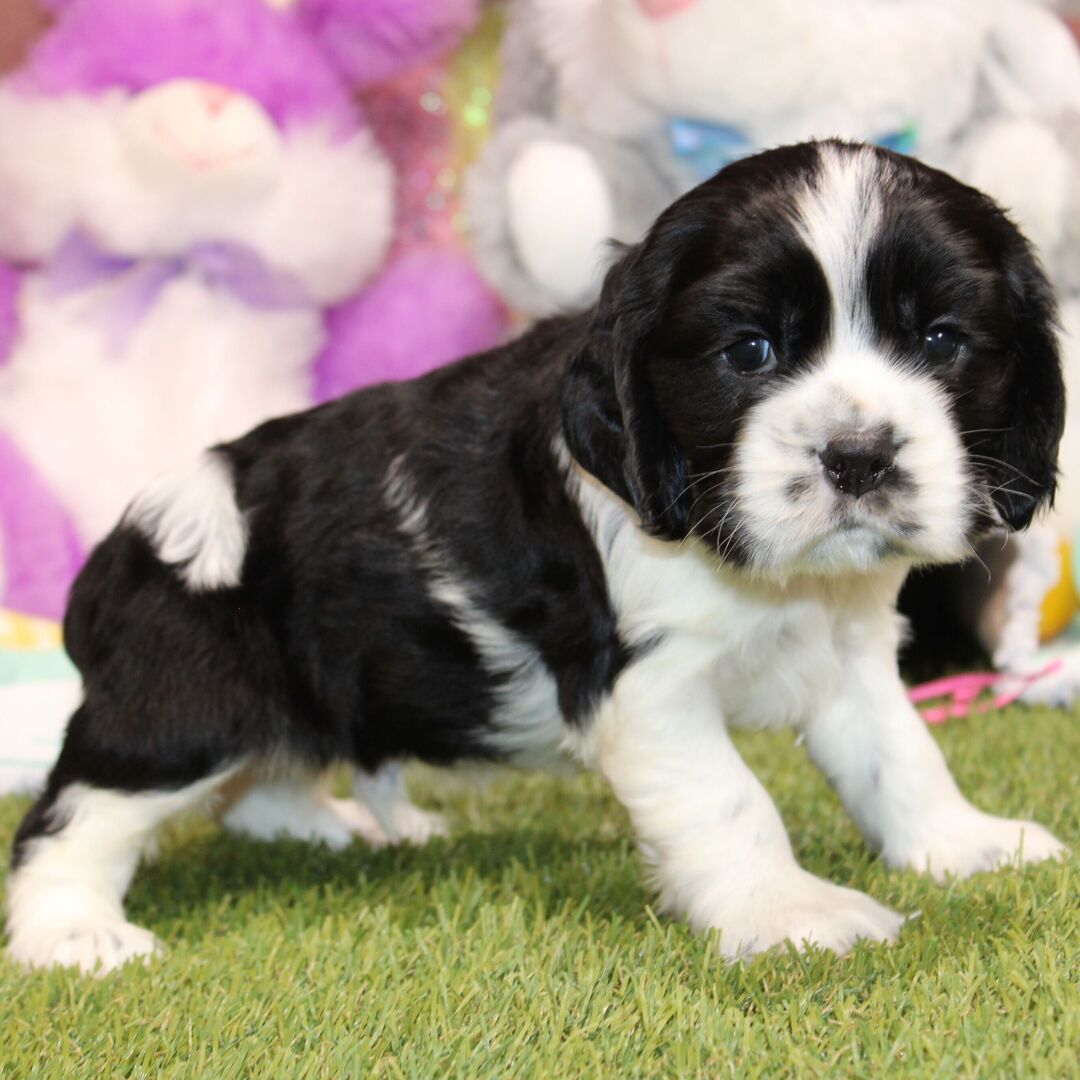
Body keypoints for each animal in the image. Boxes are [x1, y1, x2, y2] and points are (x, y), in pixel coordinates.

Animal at [6, 140, 1068, 974]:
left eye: (942, 339)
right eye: (749, 351)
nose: (856, 455)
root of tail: (135, 532)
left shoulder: (847, 653)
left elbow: (901, 755)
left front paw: (964, 844)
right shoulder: (650, 687)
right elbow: (735, 800)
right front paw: (792, 914)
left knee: (258, 778)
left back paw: (330, 825)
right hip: (175, 708)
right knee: (73, 815)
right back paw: (71, 933)